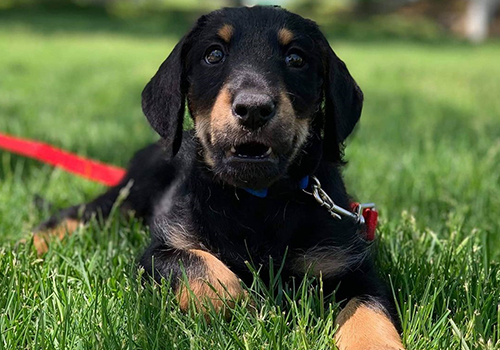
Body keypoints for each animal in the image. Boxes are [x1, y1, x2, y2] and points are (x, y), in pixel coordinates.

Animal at [37, 6, 406, 350]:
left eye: (296, 58)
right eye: (213, 54)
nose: (253, 108)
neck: (256, 202)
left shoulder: (351, 266)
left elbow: (369, 310)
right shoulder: (158, 251)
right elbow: (203, 268)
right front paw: (251, 310)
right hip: (132, 193)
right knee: (77, 214)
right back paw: (33, 244)